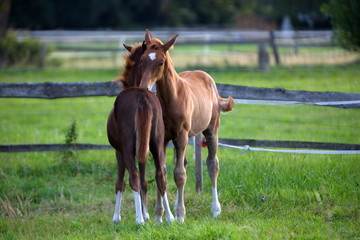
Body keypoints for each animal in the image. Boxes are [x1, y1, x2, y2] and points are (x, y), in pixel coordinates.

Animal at [106, 44, 174, 225]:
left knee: (134, 177)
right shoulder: (144, 148)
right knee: (161, 175)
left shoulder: (119, 151)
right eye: (143, 60)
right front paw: (147, 215)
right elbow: (145, 181)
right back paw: (170, 217)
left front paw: (117, 217)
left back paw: (139, 220)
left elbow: (121, 182)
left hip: (128, 148)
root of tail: (142, 97)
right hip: (157, 145)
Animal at [139, 30, 235, 223]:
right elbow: (162, 172)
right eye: (143, 59)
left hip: (211, 130)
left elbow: (180, 174)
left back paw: (215, 209)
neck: (171, 99)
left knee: (212, 164)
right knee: (182, 162)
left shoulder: (181, 136)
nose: (144, 87)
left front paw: (180, 216)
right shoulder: (162, 139)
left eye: (161, 62)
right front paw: (159, 216)